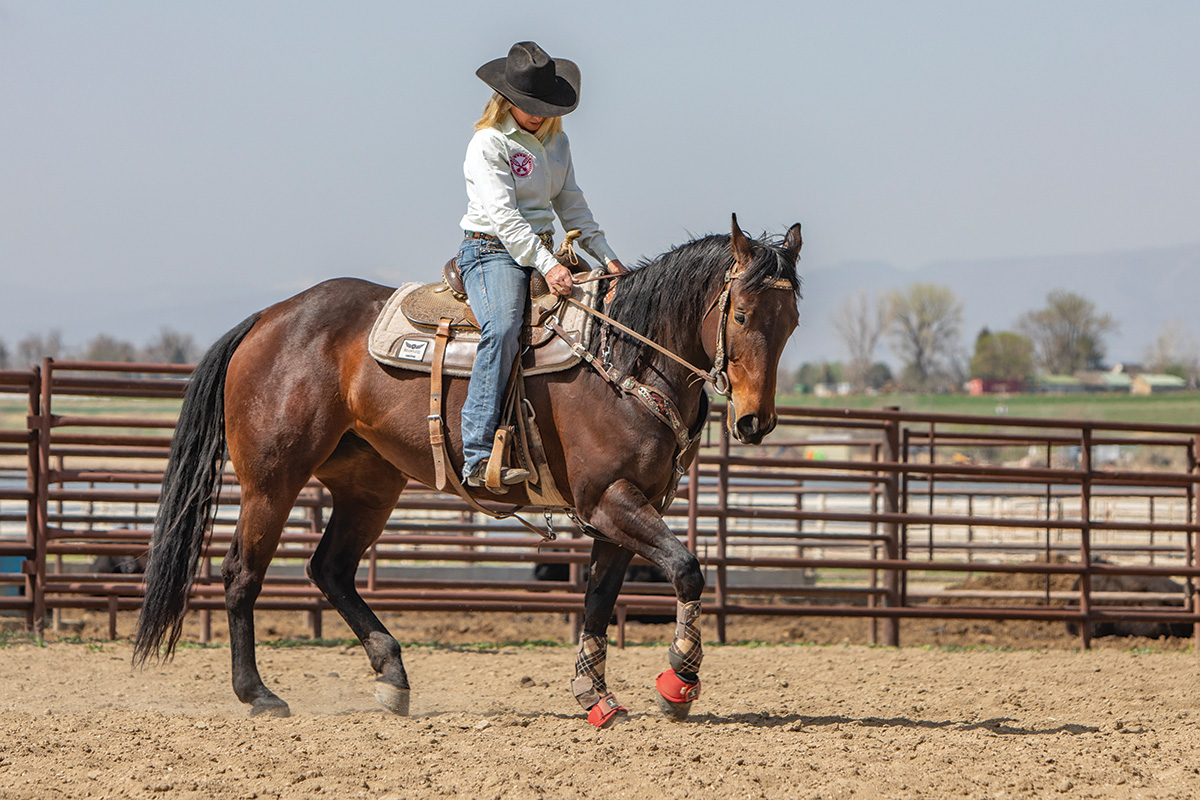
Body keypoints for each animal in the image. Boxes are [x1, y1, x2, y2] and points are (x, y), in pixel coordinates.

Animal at [136, 215, 801, 729]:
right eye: (742, 314)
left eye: (791, 320)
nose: (754, 422)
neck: (623, 357)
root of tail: (269, 317)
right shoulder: (608, 500)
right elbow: (686, 570)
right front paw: (678, 686)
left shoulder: (627, 509)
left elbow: (598, 600)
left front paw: (596, 698)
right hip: (270, 482)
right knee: (242, 574)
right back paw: (259, 695)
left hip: (368, 486)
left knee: (331, 569)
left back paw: (393, 676)